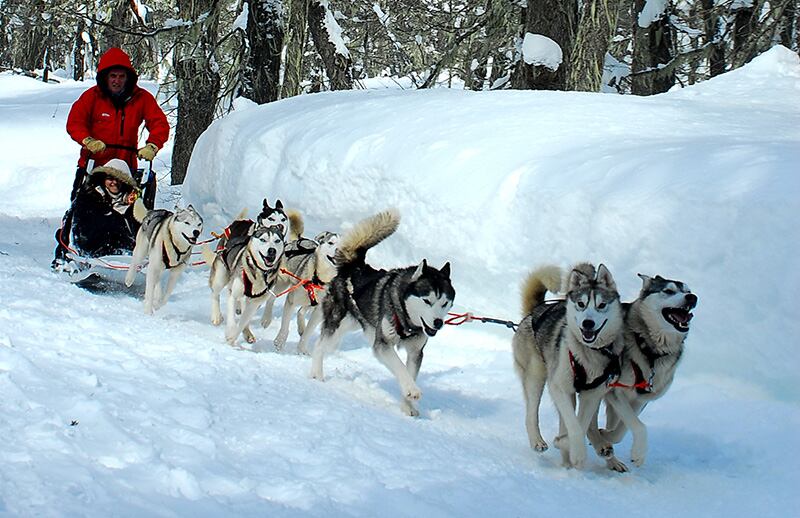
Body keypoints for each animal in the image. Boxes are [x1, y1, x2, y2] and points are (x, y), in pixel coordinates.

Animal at [308, 211, 454, 418]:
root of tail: (354, 267)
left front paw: (408, 406)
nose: (438, 322)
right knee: (320, 346)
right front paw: (412, 390)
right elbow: (400, 367)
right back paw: (316, 374)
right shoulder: (383, 345)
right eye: (427, 301)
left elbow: (409, 372)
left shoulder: (415, 352)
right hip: (336, 324)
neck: (406, 318)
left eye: (445, 303)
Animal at [512, 264, 624, 472]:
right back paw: (538, 441)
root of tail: (535, 311)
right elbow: (575, 426)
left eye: (601, 305)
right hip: (536, 376)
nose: (588, 323)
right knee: (531, 413)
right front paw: (576, 453)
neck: (588, 354)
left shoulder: (591, 395)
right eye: (581, 304)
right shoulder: (559, 387)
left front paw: (566, 443)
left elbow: (581, 424)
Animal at [584, 274, 696, 474]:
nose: (692, 298)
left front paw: (608, 437)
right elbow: (639, 426)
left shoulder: (639, 399)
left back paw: (610, 456)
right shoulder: (615, 391)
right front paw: (638, 454)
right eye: (668, 291)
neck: (650, 351)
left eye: (688, 291)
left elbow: (623, 429)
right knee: (591, 423)